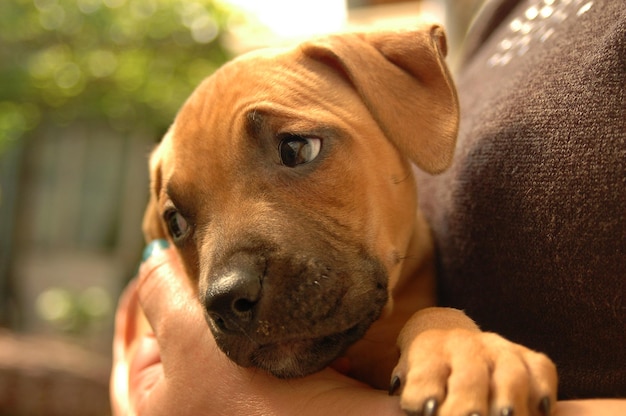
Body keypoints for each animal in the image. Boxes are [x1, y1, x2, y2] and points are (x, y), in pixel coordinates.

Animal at [143, 25, 556, 416]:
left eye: (296, 149)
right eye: (175, 223)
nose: (228, 300)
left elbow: (432, 313)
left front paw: (467, 349)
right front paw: (465, 352)